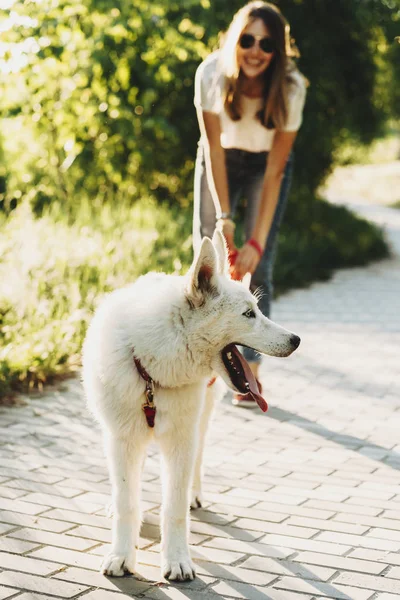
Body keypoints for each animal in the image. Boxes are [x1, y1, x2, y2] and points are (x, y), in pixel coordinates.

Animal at [82, 231, 300, 580]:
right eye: (249, 314)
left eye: (258, 310)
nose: (296, 340)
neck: (152, 373)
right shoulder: (123, 439)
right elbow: (128, 500)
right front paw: (121, 556)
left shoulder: (180, 443)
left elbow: (175, 508)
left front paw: (177, 560)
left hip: (201, 421)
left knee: (196, 462)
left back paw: (195, 495)